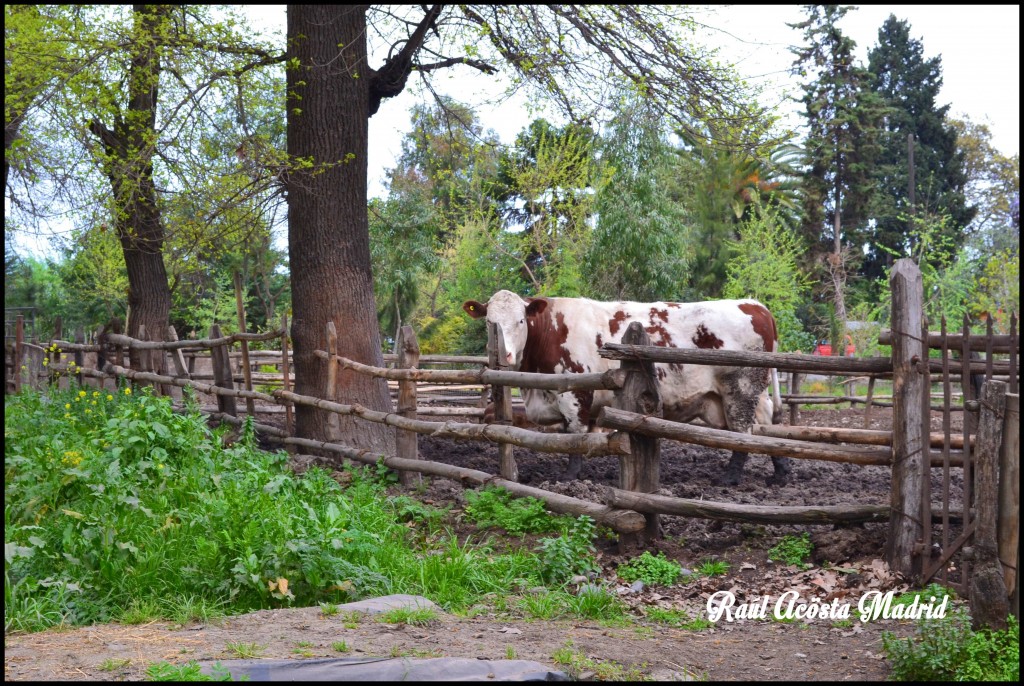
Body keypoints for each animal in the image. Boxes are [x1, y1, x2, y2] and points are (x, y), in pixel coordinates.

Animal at [464, 292, 790, 487]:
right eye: (489, 322)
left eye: (521, 320)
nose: (504, 355)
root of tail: (754, 305)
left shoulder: (575, 394)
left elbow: (573, 436)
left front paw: (570, 477)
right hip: (754, 392)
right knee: (767, 423)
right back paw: (780, 475)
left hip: (740, 389)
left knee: (743, 432)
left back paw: (729, 478)